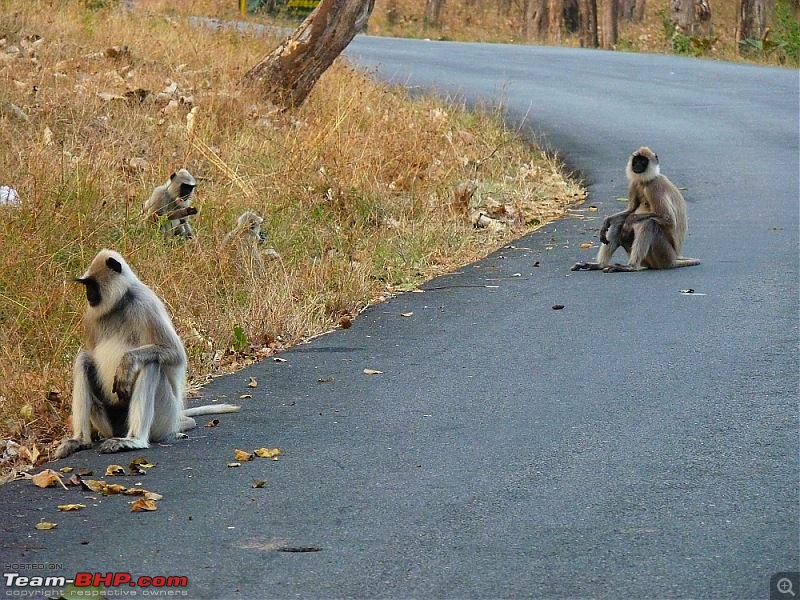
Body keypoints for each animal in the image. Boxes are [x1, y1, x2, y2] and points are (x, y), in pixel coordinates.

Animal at [54, 248, 238, 460]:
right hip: (108, 421)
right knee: (84, 360)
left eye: (92, 285)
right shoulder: (91, 317)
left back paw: (134, 440)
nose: (88, 295)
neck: (119, 302)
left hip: (163, 419)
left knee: (150, 364)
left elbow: (175, 354)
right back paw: (80, 440)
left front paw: (127, 362)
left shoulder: (144, 302)